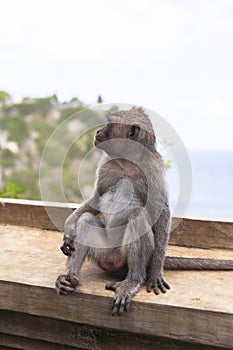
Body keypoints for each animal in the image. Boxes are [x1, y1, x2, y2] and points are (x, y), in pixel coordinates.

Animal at [56, 106, 233, 314]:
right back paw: (70, 278)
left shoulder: (153, 169)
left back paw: (133, 280)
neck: (127, 160)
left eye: (110, 123)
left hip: (124, 258)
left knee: (137, 216)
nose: (98, 131)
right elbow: (97, 198)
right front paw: (69, 229)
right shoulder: (107, 164)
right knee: (85, 220)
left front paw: (155, 272)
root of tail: (112, 261)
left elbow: (161, 210)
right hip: (103, 252)